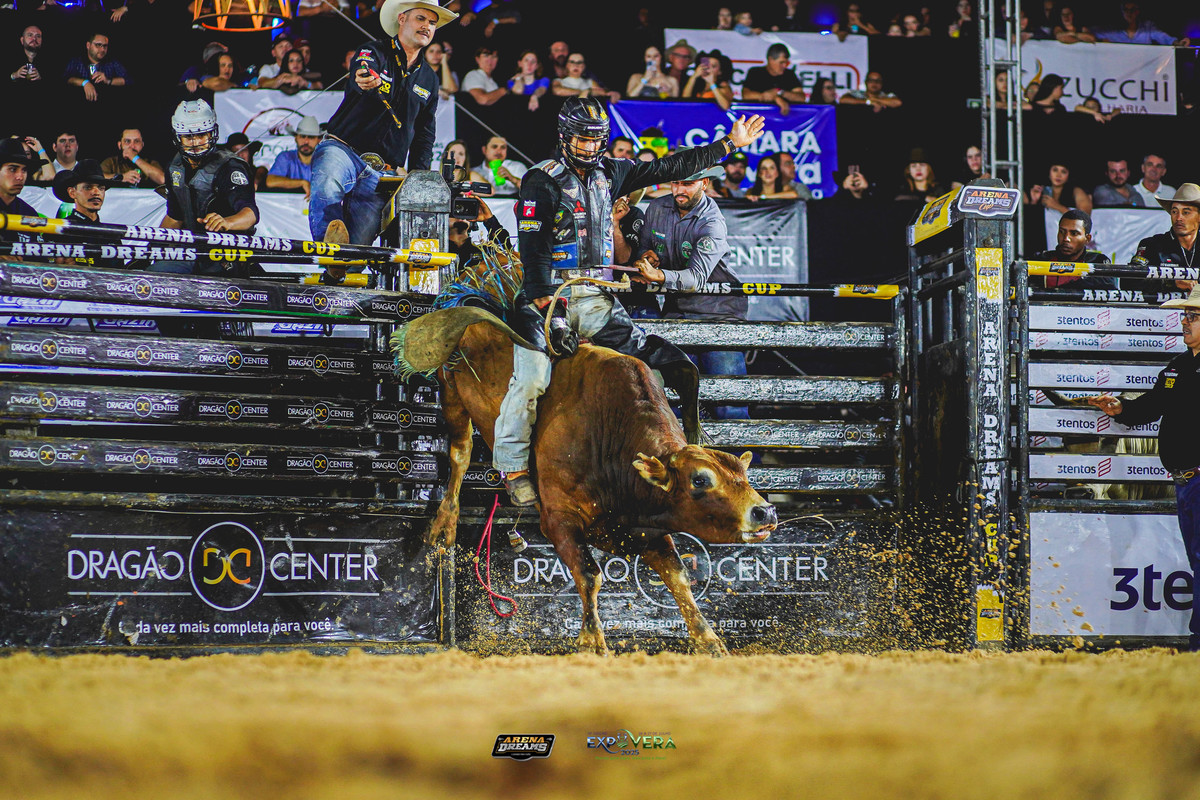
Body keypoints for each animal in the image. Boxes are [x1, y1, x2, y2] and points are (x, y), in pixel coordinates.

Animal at [395, 306, 777, 655]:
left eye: (743, 474)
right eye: (700, 480)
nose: (765, 512)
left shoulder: (648, 528)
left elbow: (679, 578)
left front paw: (710, 642)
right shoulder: (559, 520)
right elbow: (590, 575)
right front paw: (592, 643)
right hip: (452, 393)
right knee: (460, 454)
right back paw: (445, 523)